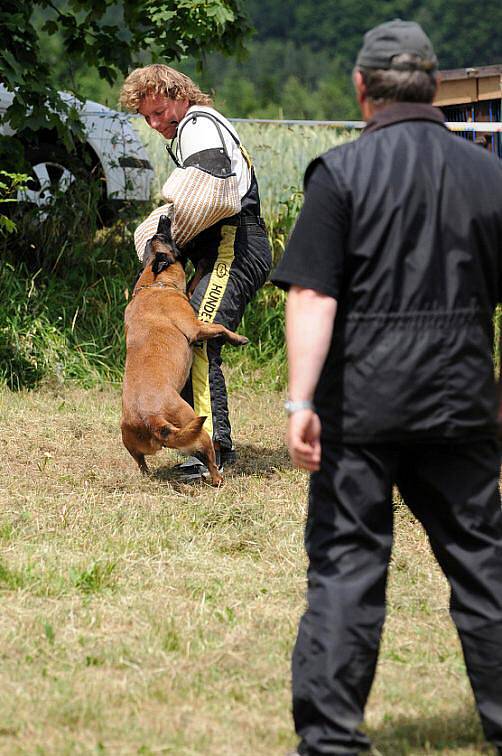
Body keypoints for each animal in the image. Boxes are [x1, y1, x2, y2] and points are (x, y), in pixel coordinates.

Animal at [121, 216, 247, 484]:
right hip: (197, 430)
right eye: (163, 237)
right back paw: (218, 479)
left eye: (155, 237)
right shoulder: (195, 327)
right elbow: (220, 327)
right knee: (211, 462)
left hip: (132, 443)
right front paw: (238, 338)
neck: (154, 285)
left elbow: (192, 283)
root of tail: (152, 419)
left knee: (140, 463)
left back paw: (147, 474)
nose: (164, 217)